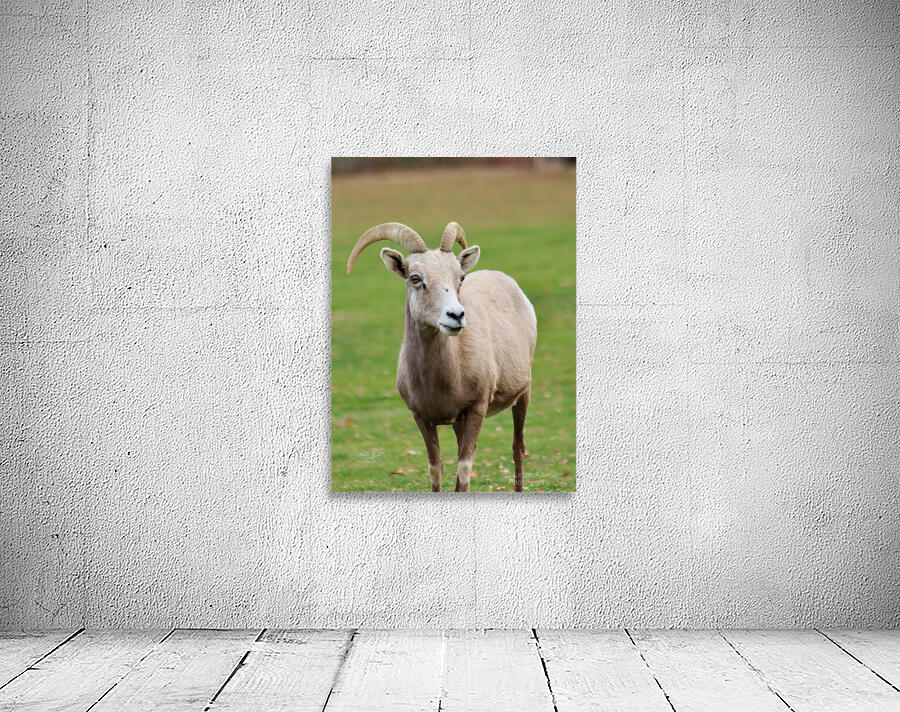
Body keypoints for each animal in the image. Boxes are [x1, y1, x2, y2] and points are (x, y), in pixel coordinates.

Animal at [346, 221, 537, 492]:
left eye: (460, 278)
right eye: (415, 278)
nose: (456, 315)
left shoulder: (477, 410)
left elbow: (464, 469)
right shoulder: (422, 418)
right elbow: (436, 469)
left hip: (523, 395)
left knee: (518, 448)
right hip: (460, 423)